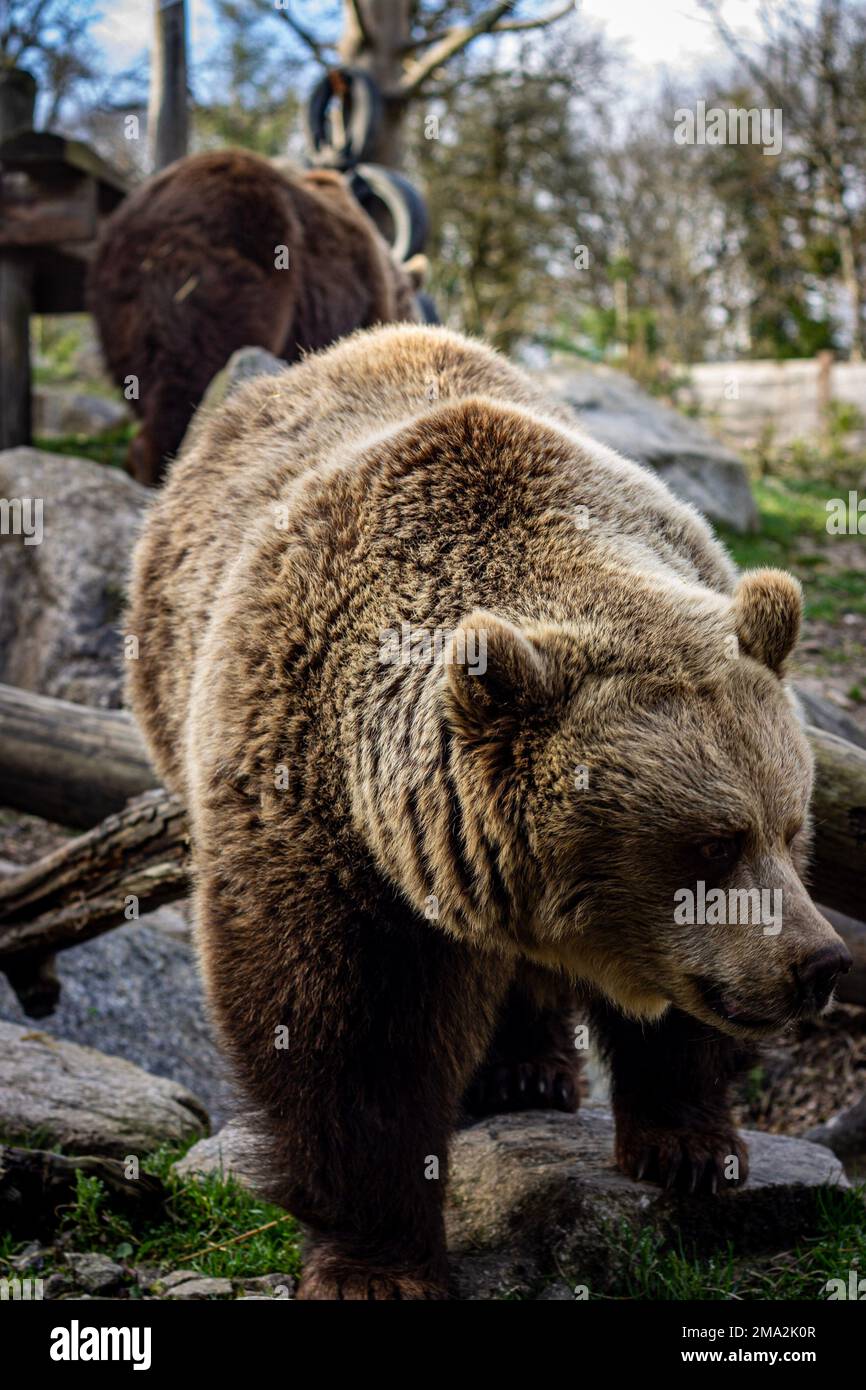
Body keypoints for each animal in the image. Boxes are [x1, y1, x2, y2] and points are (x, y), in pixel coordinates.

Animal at [125, 325, 850, 1301]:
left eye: (790, 825)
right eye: (710, 843)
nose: (821, 963)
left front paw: (691, 1146)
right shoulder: (315, 801)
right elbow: (348, 1031)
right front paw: (376, 1264)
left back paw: (527, 1072)